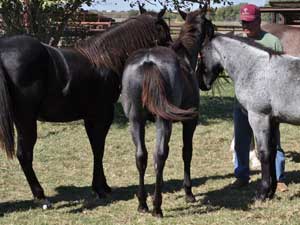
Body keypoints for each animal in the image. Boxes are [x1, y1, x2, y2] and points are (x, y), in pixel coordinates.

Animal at [0, 8, 171, 209]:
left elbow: (95, 148)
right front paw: (100, 189)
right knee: (24, 154)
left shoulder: (90, 117)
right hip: (25, 120)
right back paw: (41, 195)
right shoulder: (102, 115)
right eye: (164, 32)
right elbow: (99, 149)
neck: (105, 59)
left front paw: (101, 186)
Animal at [120, 6, 214, 218]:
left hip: (135, 120)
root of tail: (148, 62)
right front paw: (188, 193)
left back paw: (143, 203)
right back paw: (157, 206)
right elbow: (187, 152)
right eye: (211, 27)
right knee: (159, 155)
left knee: (141, 156)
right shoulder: (190, 121)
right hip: (163, 122)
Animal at [198, 33, 298, 200]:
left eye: (201, 54)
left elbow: (264, 153)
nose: (202, 84)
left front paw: (262, 193)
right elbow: (271, 153)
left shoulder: (258, 118)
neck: (255, 68)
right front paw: (271, 191)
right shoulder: (273, 121)